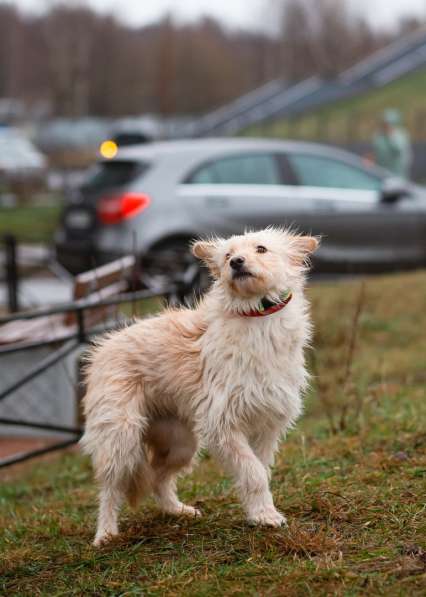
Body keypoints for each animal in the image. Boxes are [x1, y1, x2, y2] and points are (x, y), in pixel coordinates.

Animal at [81, 228, 318, 544]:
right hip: (121, 437)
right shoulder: (223, 424)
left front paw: (260, 513)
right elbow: (253, 472)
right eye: (228, 255)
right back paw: (105, 533)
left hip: (181, 443)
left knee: (158, 477)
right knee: (111, 488)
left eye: (261, 249)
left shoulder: (268, 424)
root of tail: (101, 349)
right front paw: (266, 516)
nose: (237, 262)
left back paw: (176, 510)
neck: (255, 315)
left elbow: (259, 469)